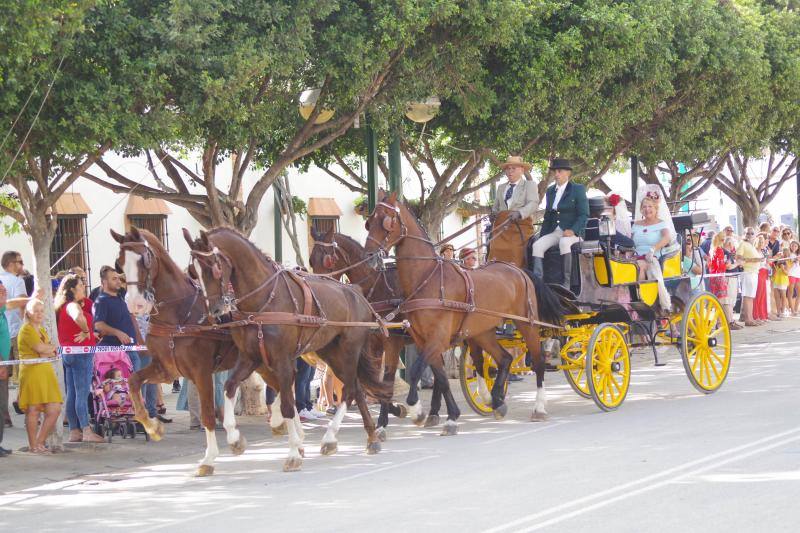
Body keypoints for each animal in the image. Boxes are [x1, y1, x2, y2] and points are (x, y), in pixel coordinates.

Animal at [110, 227, 244, 476]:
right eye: (119, 263)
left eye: (144, 259)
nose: (135, 304)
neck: (179, 315)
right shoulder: (166, 369)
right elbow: (133, 382)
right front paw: (152, 427)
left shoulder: (201, 372)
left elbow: (207, 413)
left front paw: (209, 459)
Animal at [184, 225, 390, 470]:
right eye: (193, 271)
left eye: (213, 268)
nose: (215, 311)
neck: (264, 301)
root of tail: (357, 292)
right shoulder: (250, 358)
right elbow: (231, 387)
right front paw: (235, 438)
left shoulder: (283, 361)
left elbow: (287, 405)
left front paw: (292, 452)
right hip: (330, 352)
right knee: (356, 388)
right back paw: (368, 438)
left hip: (349, 349)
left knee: (349, 390)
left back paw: (333, 436)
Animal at [362, 193, 564, 426]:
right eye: (369, 222)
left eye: (387, 221)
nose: (369, 257)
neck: (427, 278)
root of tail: (518, 269)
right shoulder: (422, 340)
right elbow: (439, 376)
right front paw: (448, 415)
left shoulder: (437, 338)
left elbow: (415, 371)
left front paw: (416, 409)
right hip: (483, 331)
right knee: (503, 359)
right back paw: (495, 399)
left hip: (526, 323)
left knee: (537, 362)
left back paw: (538, 406)